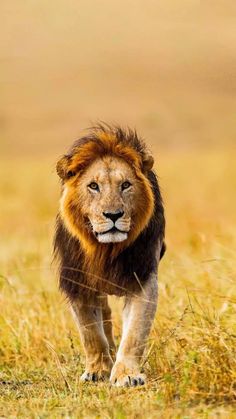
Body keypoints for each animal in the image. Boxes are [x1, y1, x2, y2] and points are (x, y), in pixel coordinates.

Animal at [54, 124, 165, 388]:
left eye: (125, 185)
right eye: (93, 186)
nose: (113, 215)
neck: (105, 250)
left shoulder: (142, 278)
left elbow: (134, 333)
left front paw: (127, 374)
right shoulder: (77, 281)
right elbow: (90, 332)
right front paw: (97, 370)